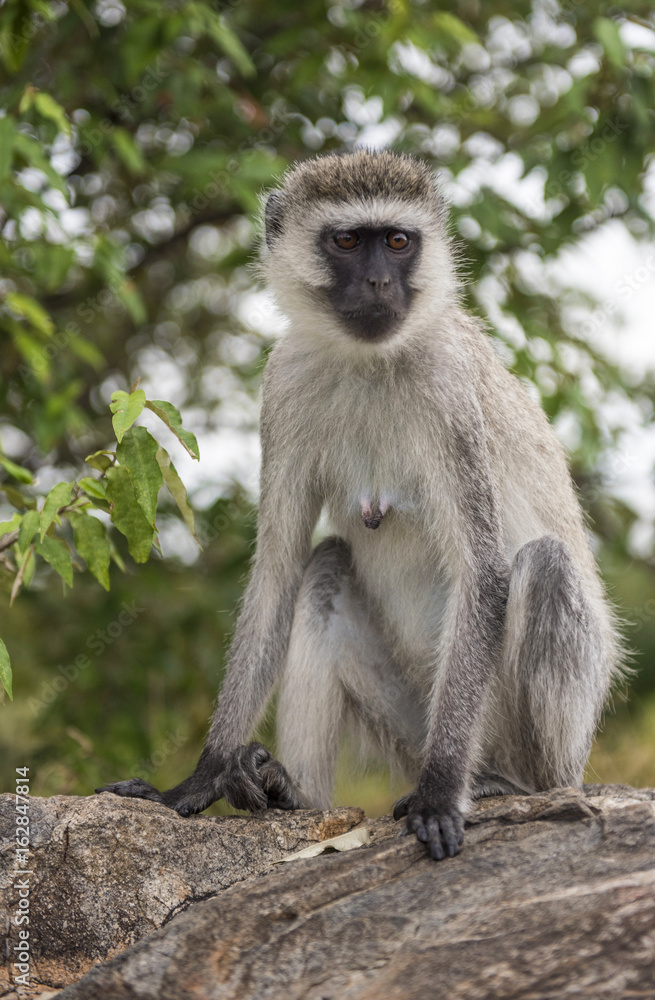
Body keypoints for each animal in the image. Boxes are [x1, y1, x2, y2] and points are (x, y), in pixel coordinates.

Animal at [98, 146, 624, 860]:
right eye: (348, 241)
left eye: (398, 242)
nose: (378, 284)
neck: (368, 362)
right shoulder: (284, 384)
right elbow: (278, 572)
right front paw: (197, 781)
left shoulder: (449, 389)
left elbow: (484, 573)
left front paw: (439, 794)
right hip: (405, 726)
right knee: (322, 570)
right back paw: (295, 798)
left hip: (529, 744)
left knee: (544, 566)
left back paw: (507, 785)